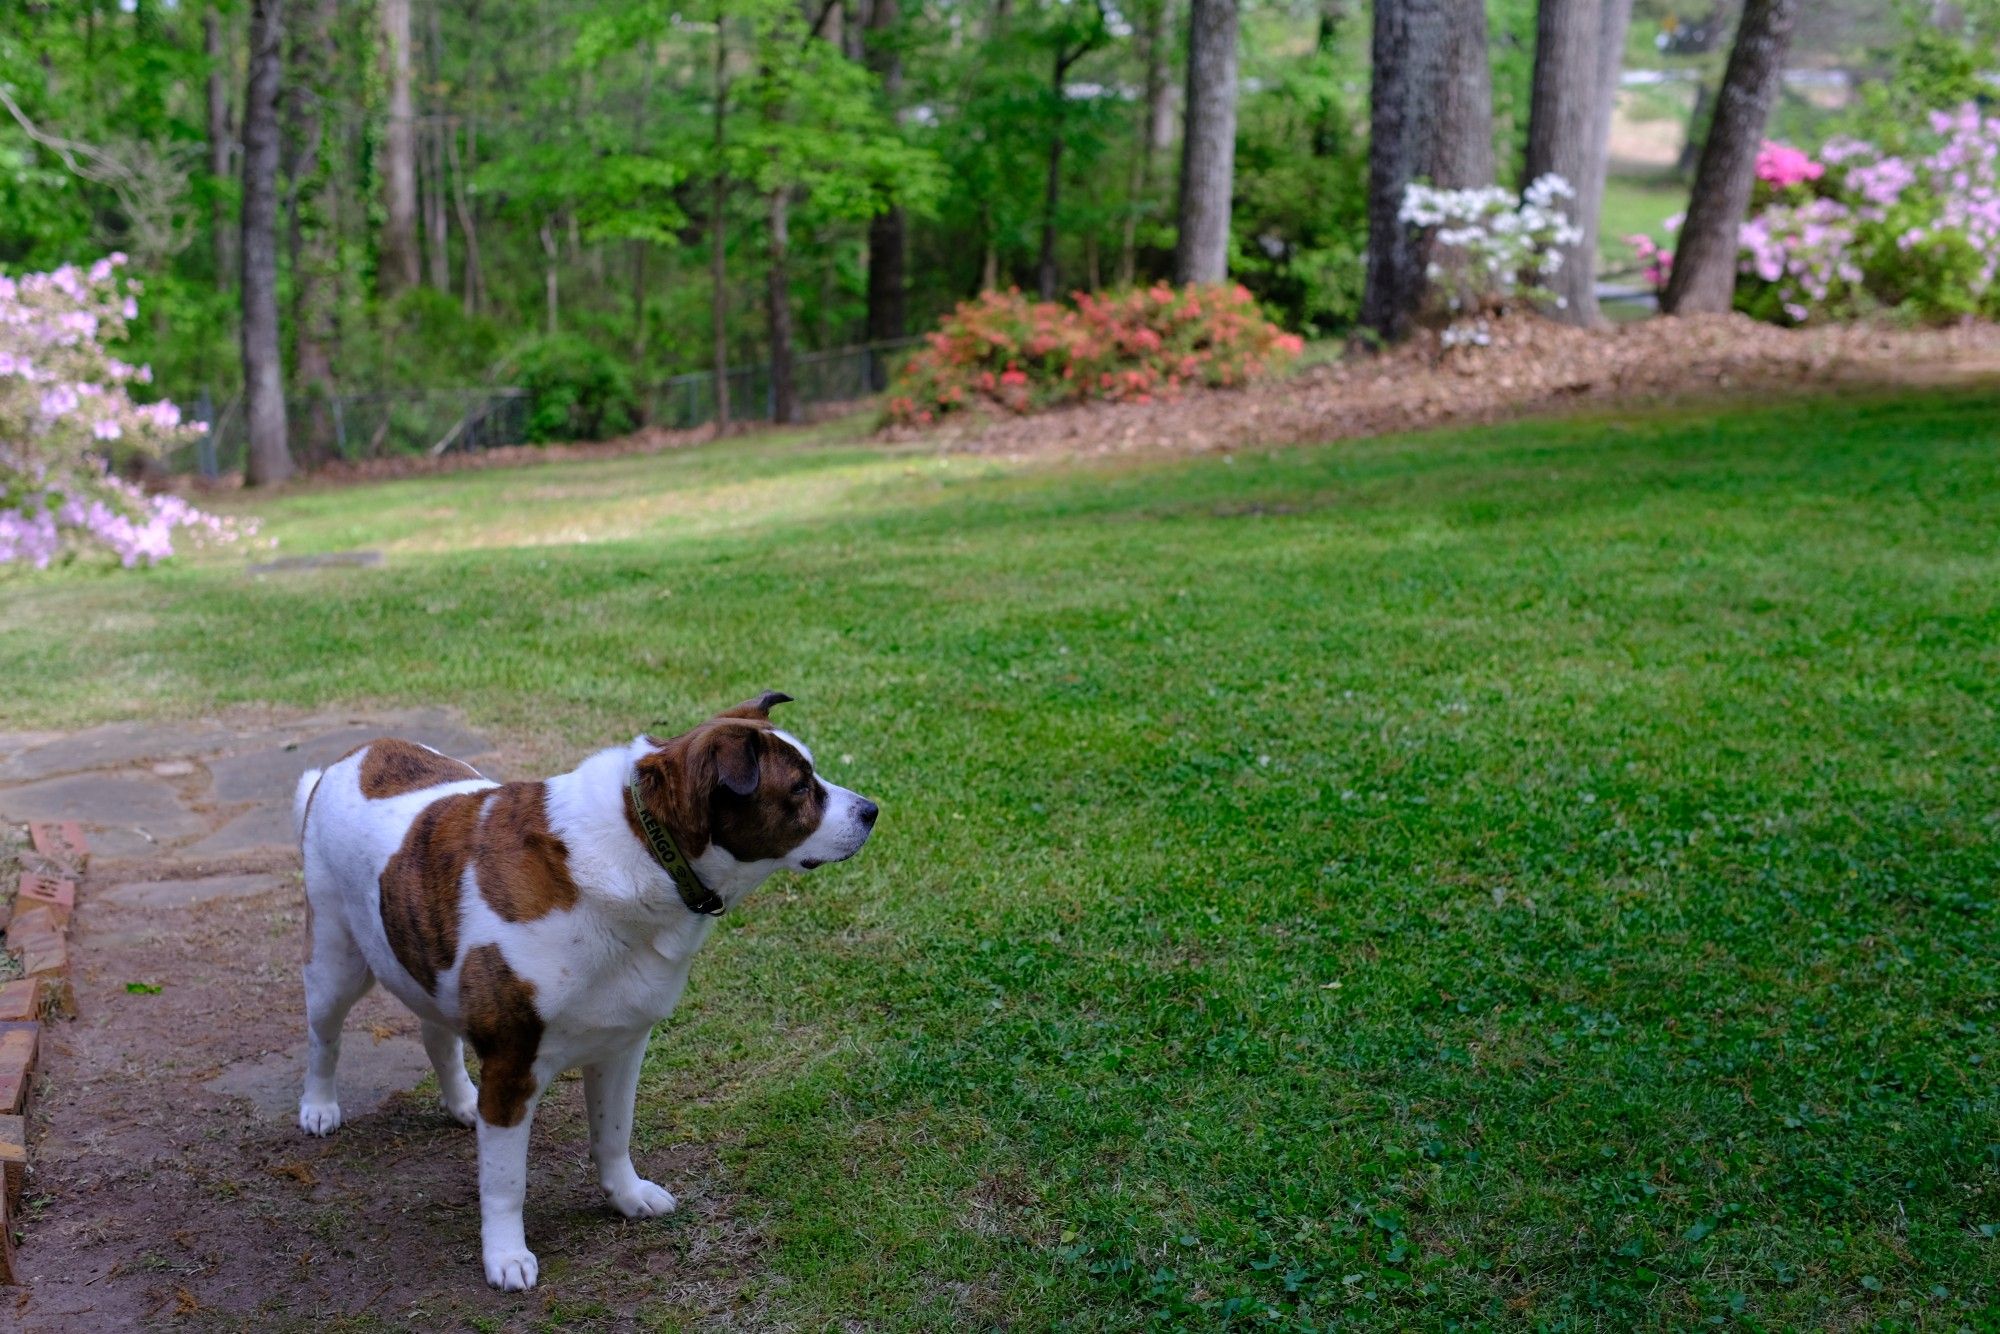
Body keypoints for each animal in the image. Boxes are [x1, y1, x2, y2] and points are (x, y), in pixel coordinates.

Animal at [292, 696, 876, 1288]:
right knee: (325, 1037)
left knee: (436, 1034)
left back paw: (461, 1101)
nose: (871, 810)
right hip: (336, 960)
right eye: (800, 788)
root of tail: (355, 753)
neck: (646, 847)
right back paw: (319, 1106)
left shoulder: (622, 1045)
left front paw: (626, 1195)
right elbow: (506, 1182)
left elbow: (614, 1134)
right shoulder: (513, 1065)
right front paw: (505, 1254)